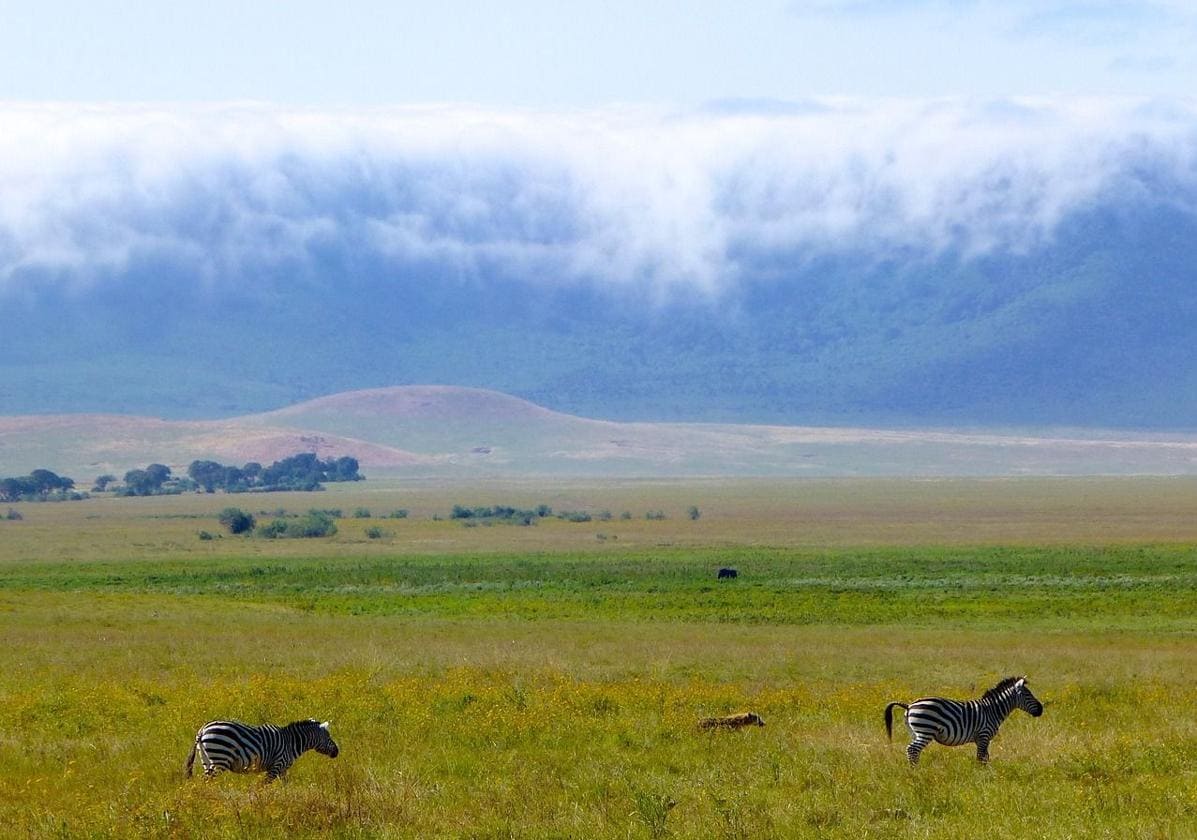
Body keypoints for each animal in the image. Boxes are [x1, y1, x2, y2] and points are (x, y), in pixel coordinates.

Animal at [184, 717, 339, 784]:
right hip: (220, 758)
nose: (337, 752)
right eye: (328, 736)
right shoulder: (276, 766)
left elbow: (285, 785)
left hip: (207, 761)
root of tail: (202, 730)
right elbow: (265, 785)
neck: (291, 743)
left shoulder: (282, 769)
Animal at [885, 679, 1043, 765]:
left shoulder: (982, 739)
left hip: (915, 732)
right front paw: (981, 775)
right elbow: (981, 758)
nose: (1041, 710)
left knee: (913, 751)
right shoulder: (984, 735)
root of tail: (909, 705)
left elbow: (985, 757)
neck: (992, 710)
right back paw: (915, 771)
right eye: (1028, 694)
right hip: (926, 730)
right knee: (912, 749)